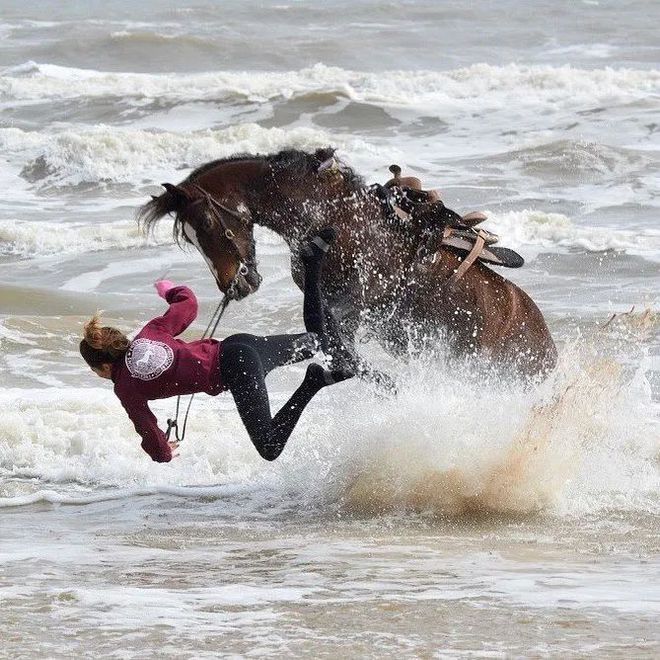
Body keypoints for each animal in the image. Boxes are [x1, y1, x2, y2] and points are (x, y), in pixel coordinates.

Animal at [138, 148, 556, 378]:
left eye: (207, 225)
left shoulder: (356, 304)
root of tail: (548, 351)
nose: (234, 284)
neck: (332, 217)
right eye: (189, 238)